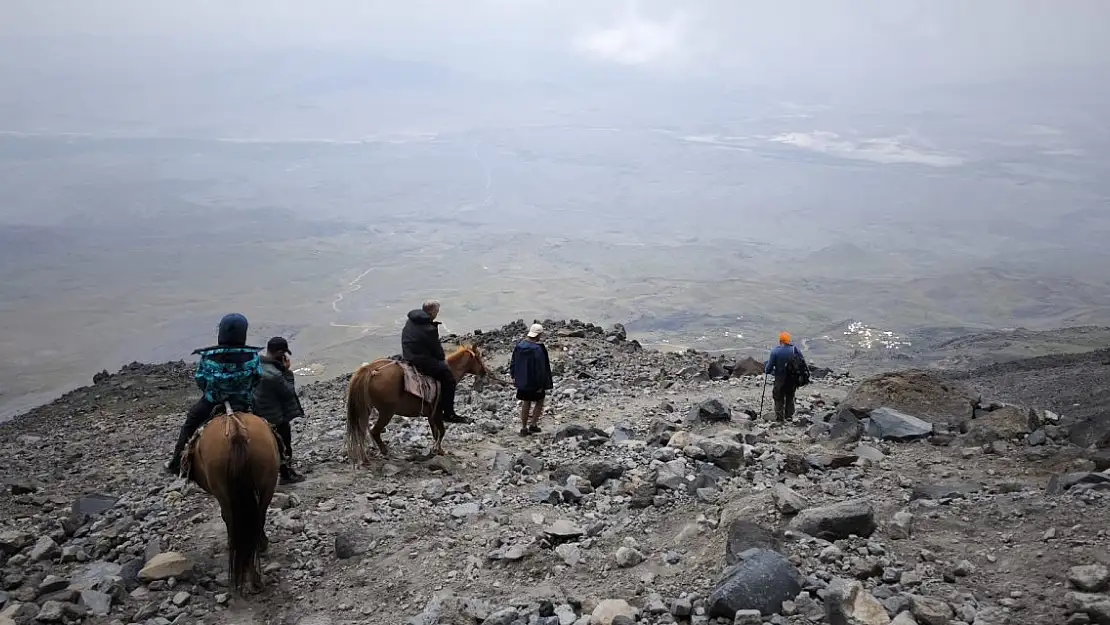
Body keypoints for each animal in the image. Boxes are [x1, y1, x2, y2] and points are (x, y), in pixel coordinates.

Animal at [346, 346, 499, 464]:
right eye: (479, 357)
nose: (486, 372)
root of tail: (371, 370)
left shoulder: (431, 416)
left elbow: (436, 433)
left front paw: (436, 450)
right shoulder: (437, 413)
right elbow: (442, 431)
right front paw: (438, 450)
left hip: (367, 409)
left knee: (363, 431)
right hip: (386, 412)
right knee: (374, 431)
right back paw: (385, 452)